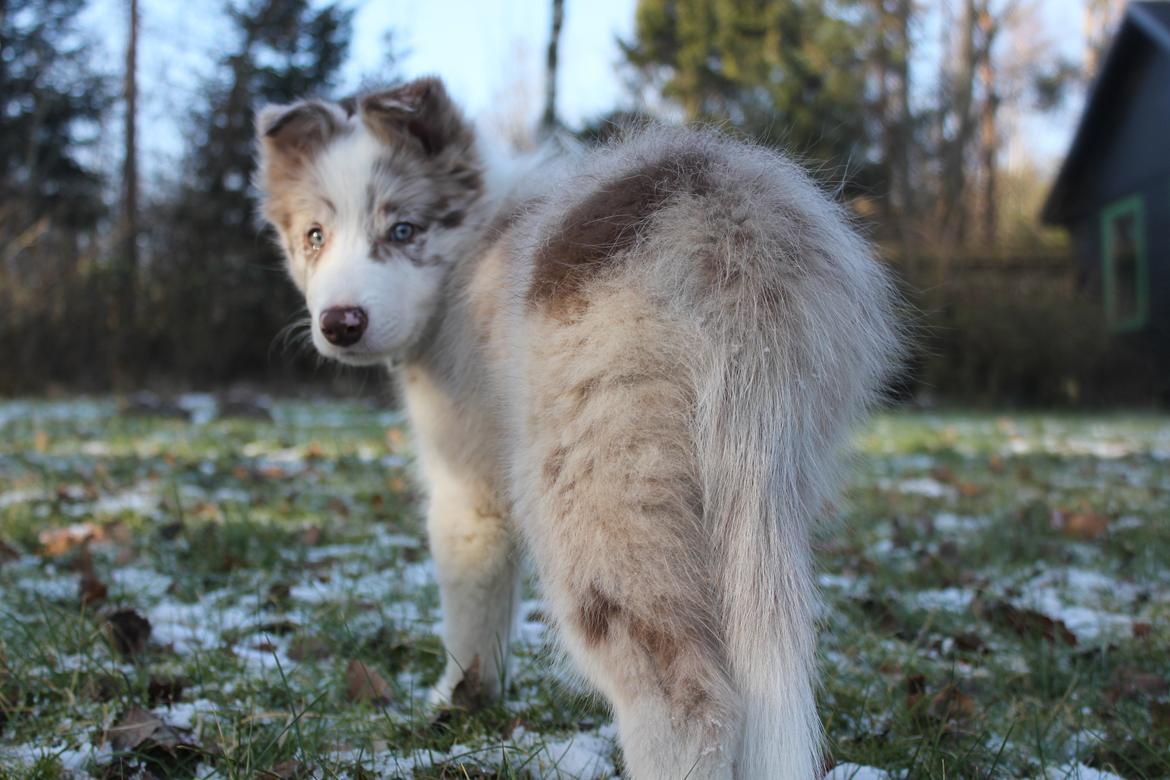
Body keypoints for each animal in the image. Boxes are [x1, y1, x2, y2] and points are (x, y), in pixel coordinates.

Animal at [251, 74, 898, 780]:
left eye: (403, 229)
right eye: (314, 236)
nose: (341, 323)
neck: (469, 247)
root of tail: (731, 225)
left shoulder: (469, 484)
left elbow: (471, 602)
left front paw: (456, 701)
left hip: (595, 482)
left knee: (685, 703)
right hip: (766, 469)